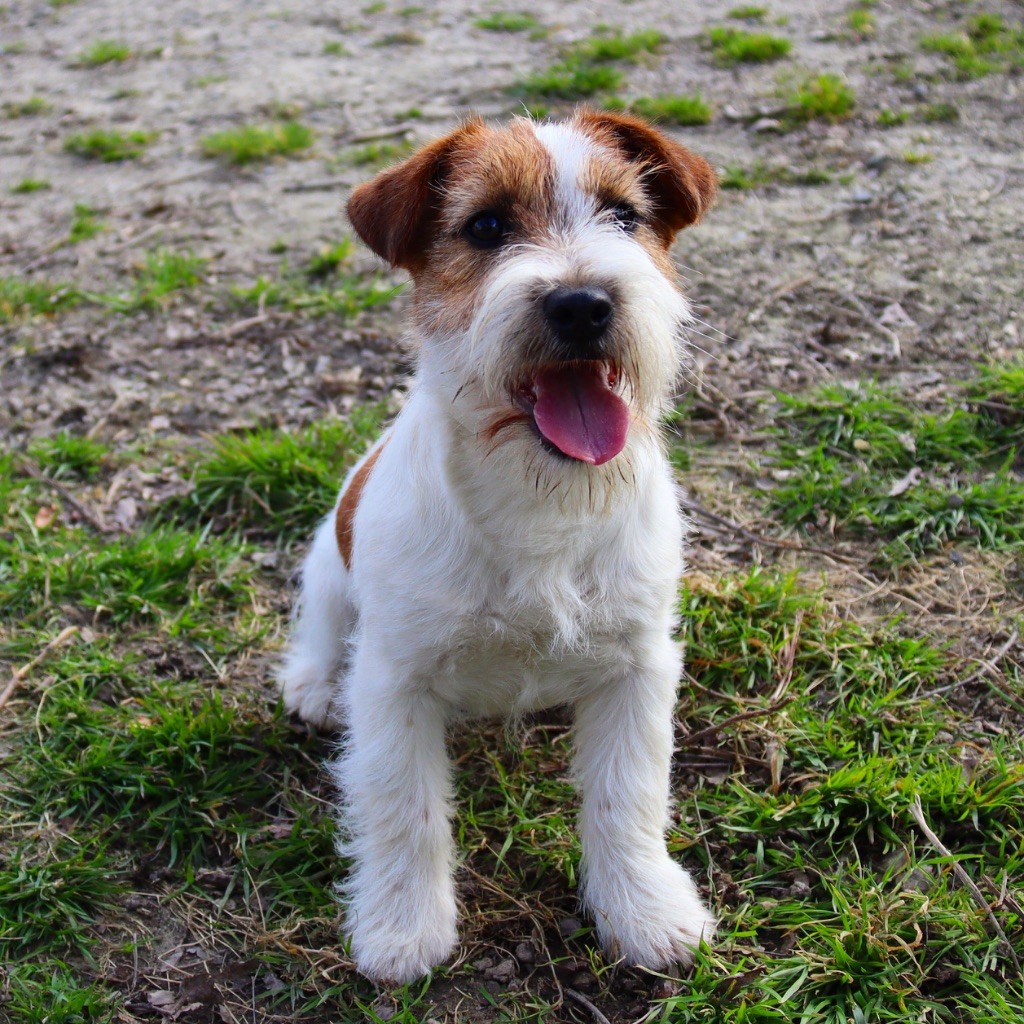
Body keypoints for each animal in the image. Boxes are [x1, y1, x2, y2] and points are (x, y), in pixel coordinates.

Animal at [276, 110, 716, 983]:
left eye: (624, 216)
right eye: (485, 227)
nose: (582, 303)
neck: (538, 501)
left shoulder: (639, 667)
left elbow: (628, 796)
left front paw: (645, 910)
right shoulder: (394, 681)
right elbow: (404, 808)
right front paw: (402, 930)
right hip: (329, 565)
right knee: (322, 624)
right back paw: (312, 683)